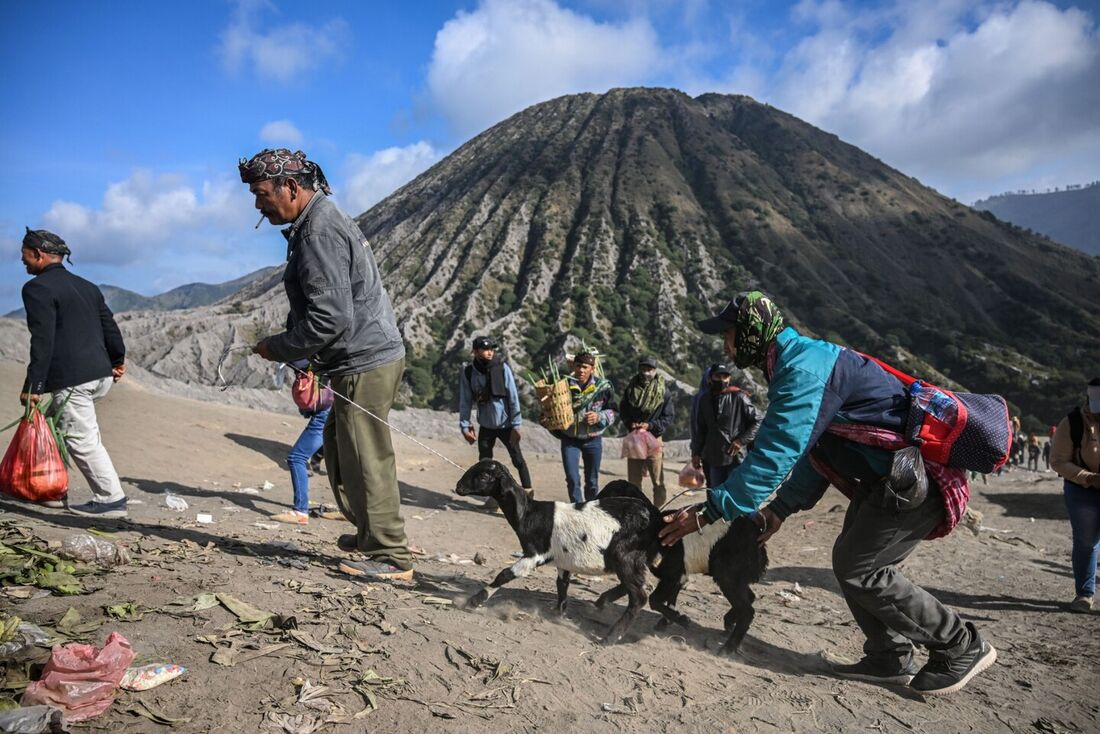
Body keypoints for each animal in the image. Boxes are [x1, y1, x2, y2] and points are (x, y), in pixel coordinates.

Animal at [453, 462, 660, 647]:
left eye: (483, 476)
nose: (458, 487)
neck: (529, 514)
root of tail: (654, 516)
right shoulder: (563, 560)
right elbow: (562, 585)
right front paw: (558, 615)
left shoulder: (535, 554)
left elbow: (504, 574)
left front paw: (473, 601)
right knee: (633, 586)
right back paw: (601, 604)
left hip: (625, 556)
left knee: (639, 597)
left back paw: (609, 638)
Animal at [594, 481, 765, 655]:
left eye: (609, 498)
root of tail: (756, 536)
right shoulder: (674, 576)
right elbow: (637, 590)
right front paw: (602, 602)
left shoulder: (674, 575)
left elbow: (653, 600)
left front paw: (680, 619)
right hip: (735, 576)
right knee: (749, 598)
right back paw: (729, 623)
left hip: (727, 574)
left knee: (747, 611)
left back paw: (728, 648)